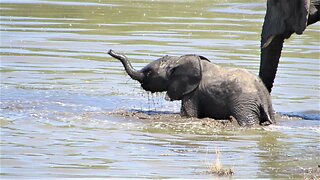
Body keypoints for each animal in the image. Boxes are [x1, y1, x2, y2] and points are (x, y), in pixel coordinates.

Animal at [108, 48, 276, 126]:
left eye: (149, 73)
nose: (110, 51)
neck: (177, 60)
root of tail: (261, 94)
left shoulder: (193, 92)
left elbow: (188, 115)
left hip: (243, 103)